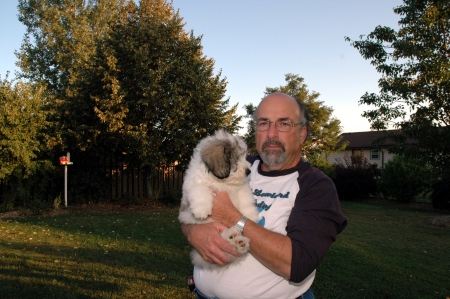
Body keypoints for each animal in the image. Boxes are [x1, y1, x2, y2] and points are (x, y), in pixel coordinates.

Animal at [178, 130, 258, 270]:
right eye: (236, 158)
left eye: (244, 157)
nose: (248, 171)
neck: (222, 182)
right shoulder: (193, 183)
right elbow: (200, 190)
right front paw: (202, 210)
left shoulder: (242, 188)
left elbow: (246, 200)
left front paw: (251, 215)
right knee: (223, 239)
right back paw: (232, 236)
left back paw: (240, 242)